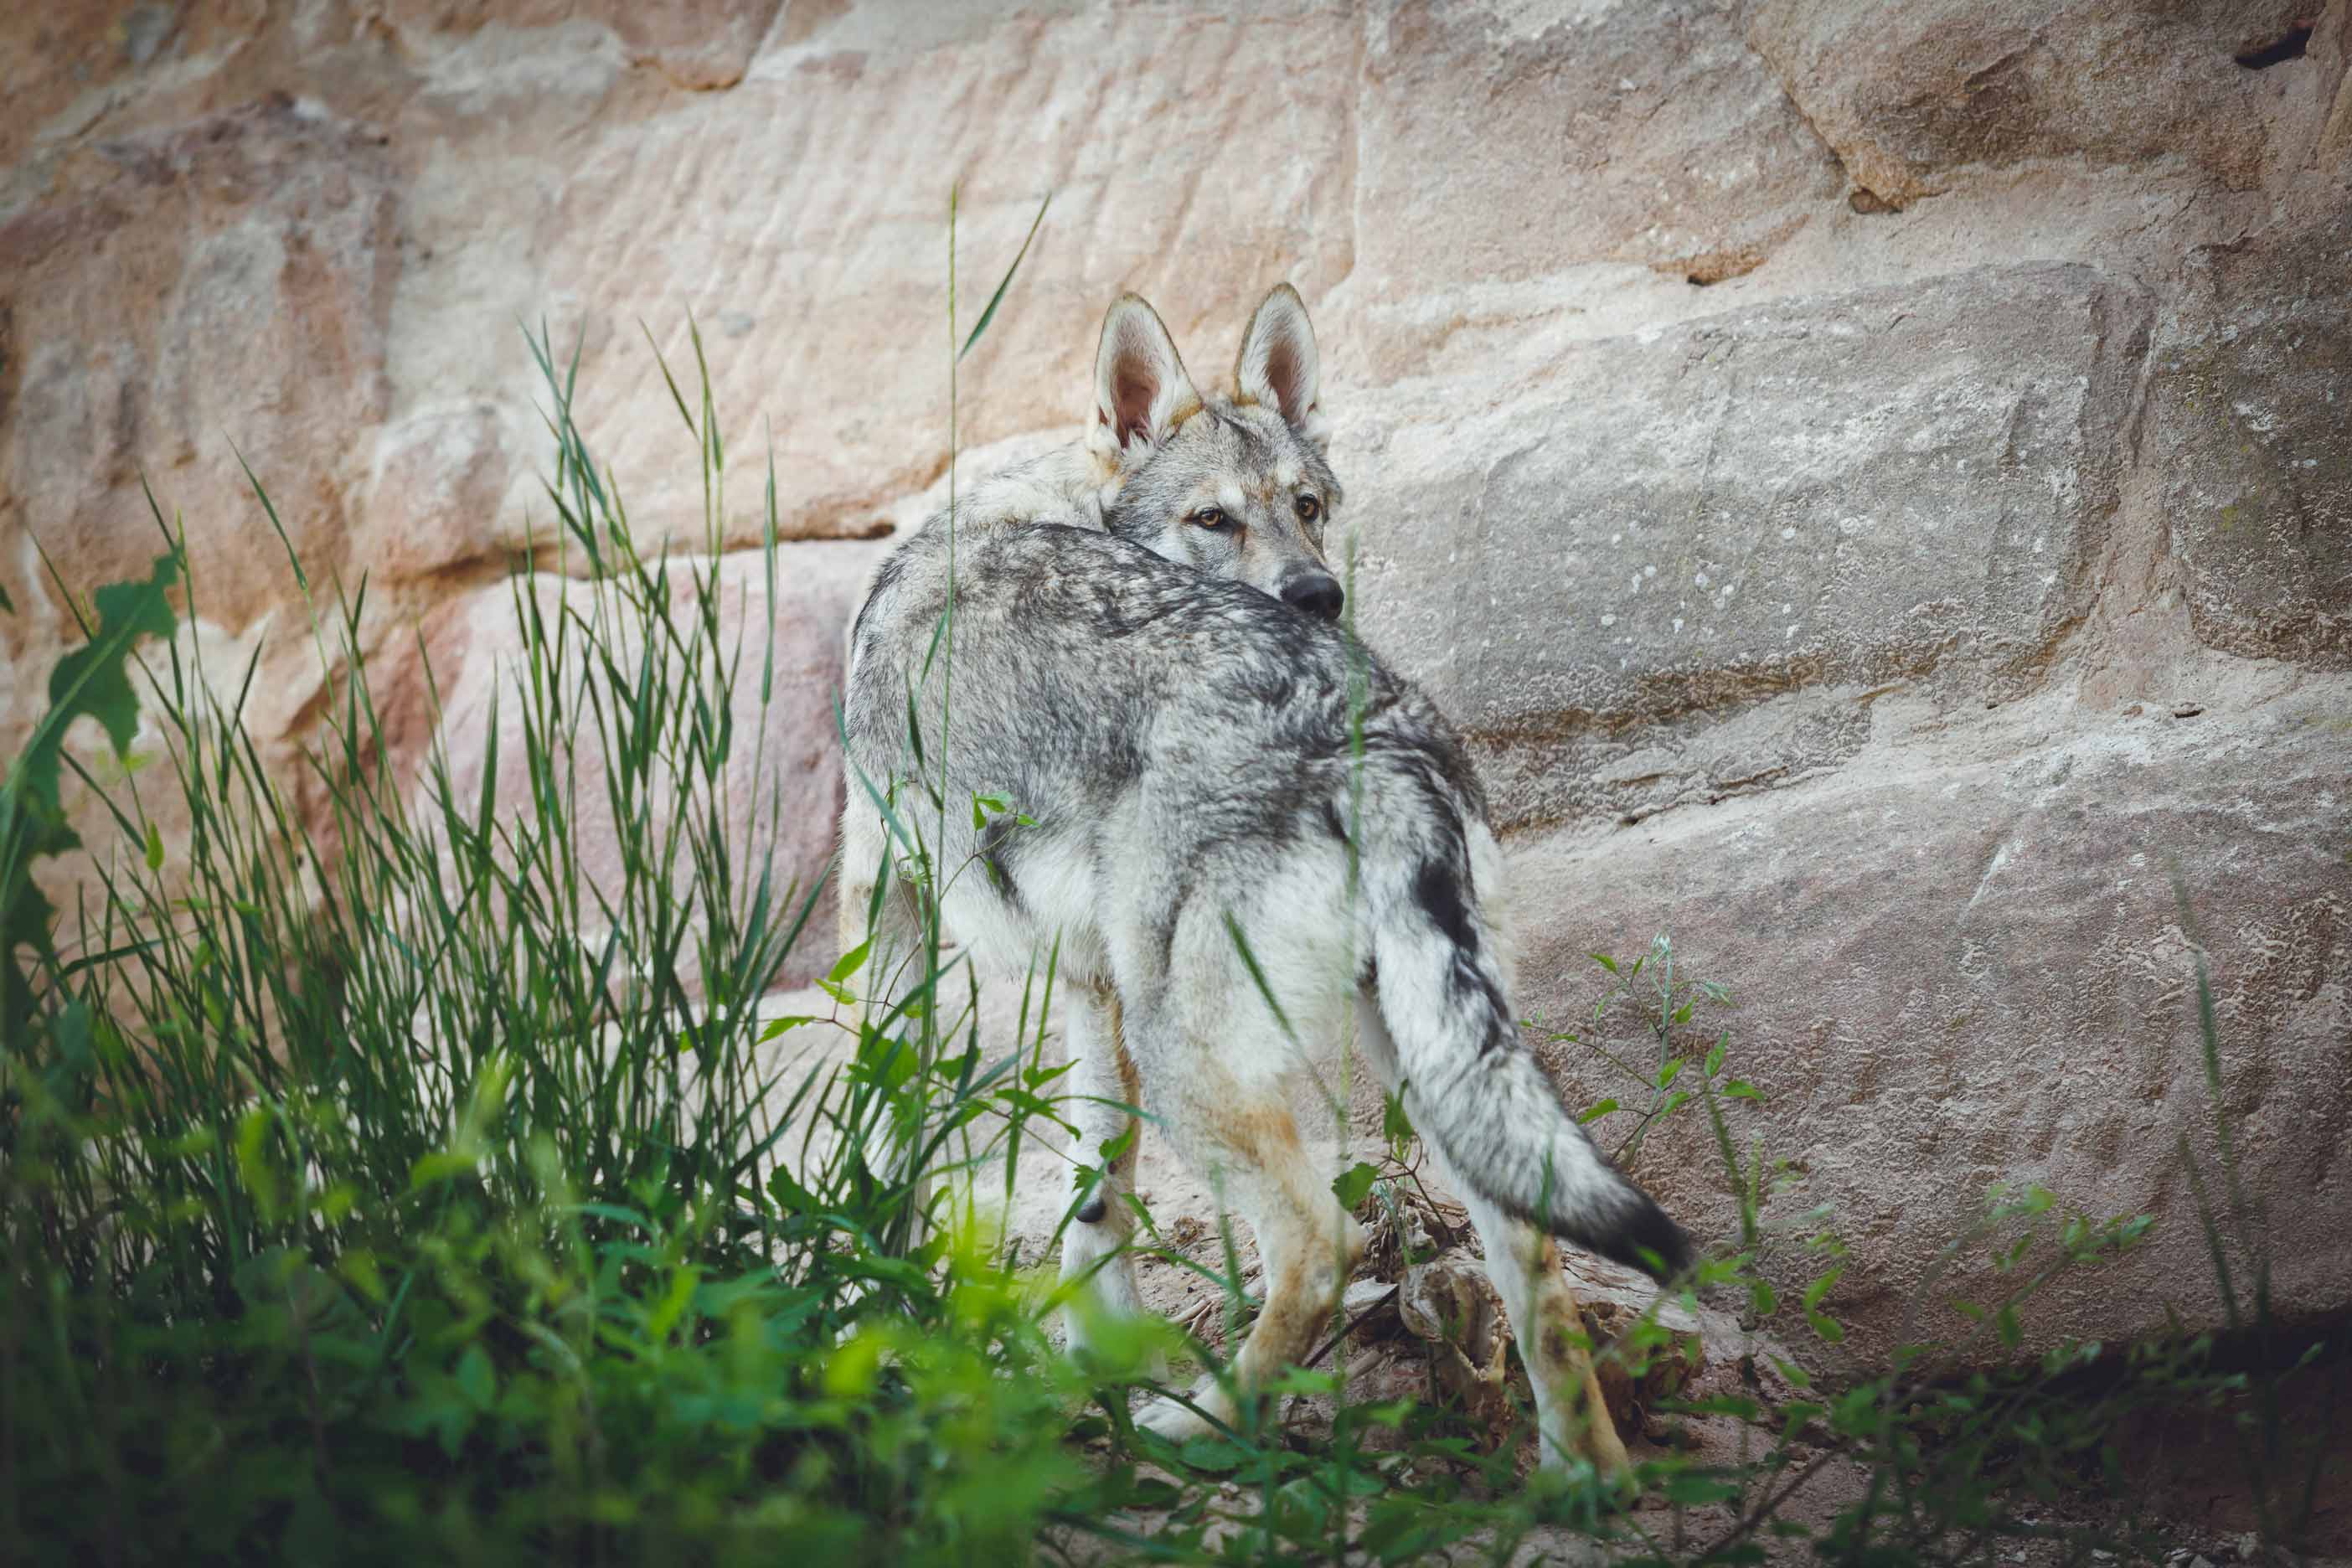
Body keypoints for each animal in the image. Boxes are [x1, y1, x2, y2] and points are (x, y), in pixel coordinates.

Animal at [835, 283, 1692, 1478]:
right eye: (1214, 520)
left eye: (1309, 507)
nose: (1319, 594)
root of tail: (1382, 742)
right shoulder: (1089, 982)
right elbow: (1096, 1203)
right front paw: (1093, 1360)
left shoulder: (896, 919)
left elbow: (887, 1156)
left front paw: (872, 1326)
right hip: (1418, 1069)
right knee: (1536, 1270)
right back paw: (1584, 1483)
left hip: (1196, 1054)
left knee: (1323, 1244)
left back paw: (1204, 1427)